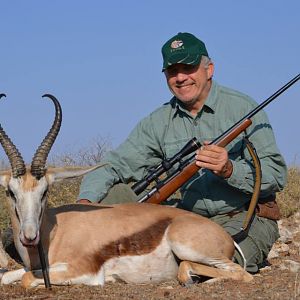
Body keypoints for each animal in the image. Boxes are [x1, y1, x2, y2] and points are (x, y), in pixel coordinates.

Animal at [0, 94, 253, 288]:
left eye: (45, 192)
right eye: (11, 192)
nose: (29, 236)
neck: (54, 231)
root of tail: (226, 236)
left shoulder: (83, 271)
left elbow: (26, 279)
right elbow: (7, 276)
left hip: (188, 247)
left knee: (242, 273)